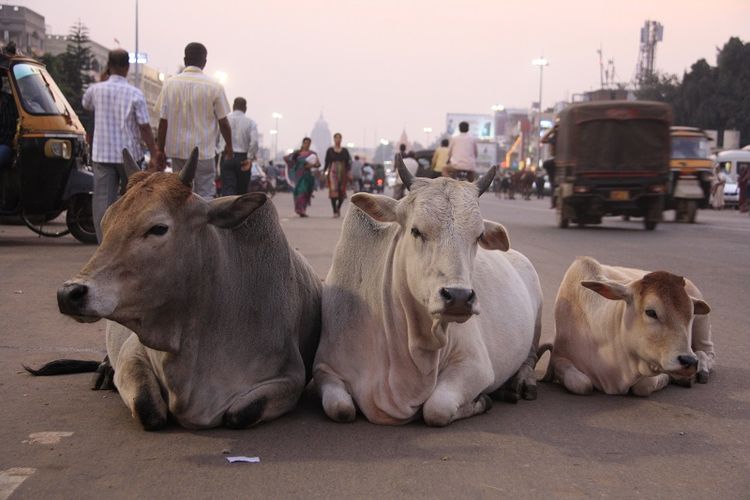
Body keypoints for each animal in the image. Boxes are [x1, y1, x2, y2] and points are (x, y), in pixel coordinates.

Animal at [314, 156, 544, 426]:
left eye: (478, 236)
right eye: (416, 231)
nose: (459, 297)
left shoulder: (476, 365)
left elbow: (436, 409)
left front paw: (482, 401)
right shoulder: (324, 368)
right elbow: (341, 409)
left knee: (530, 358)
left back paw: (521, 383)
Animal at [548, 256, 716, 396]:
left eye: (691, 314)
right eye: (651, 312)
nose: (688, 361)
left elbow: (643, 387)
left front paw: (668, 378)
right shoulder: (559, 358)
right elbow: (582, 384)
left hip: (702, 328)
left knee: (707, 353)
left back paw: (701, 370)